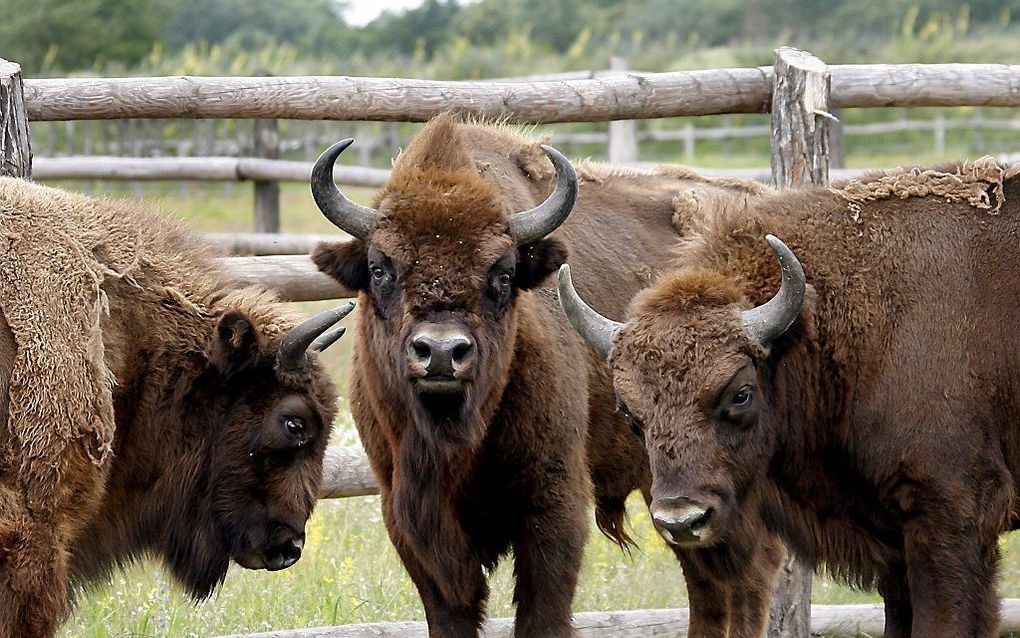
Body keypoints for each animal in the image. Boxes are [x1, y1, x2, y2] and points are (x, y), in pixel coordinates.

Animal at [310, 115, 779, 636]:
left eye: (503, 273)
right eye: (379, 269)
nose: (441, 352)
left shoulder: (554, 503)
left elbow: (542, 612)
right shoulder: (409, 518)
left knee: (749, 574)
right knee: (707, 582)